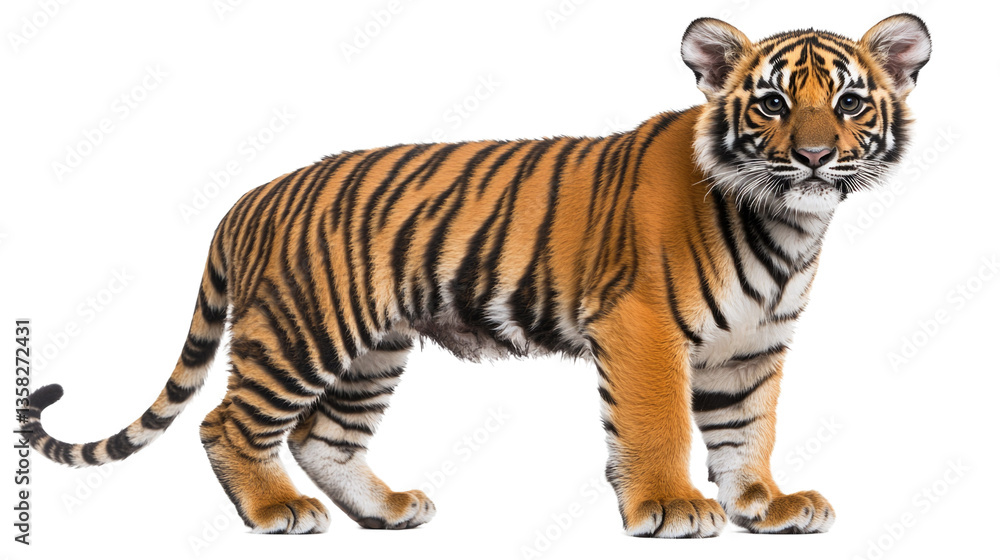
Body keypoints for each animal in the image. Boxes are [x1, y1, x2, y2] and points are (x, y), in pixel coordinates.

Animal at [26, 14, 930, 538]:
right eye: (772, 104)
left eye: (850, 103)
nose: (812, 157)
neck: (786, 222)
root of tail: (251, 196)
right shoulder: (641, 327)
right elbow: (659, 424)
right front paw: (673, 506)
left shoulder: (750, 348)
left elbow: (748, 430)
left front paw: (764, 505)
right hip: (301, 331)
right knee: (228, 423)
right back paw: (277, 511)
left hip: (373, 350)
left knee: (324, 437)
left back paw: (387, 512)